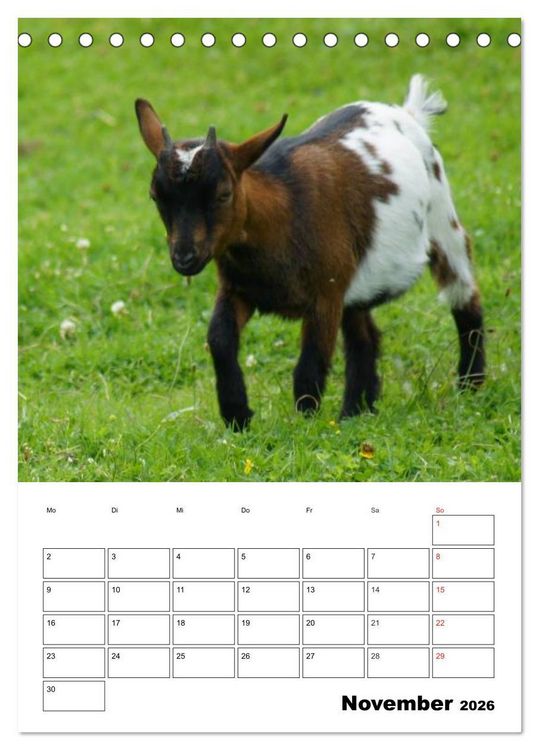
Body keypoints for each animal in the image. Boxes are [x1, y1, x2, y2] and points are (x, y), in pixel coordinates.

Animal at [135, 75, 485, 430]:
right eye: (155, 196)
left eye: (223, 194)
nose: (184, 258)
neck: (282, 216)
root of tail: (408, 113)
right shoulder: (238, 288)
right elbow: (219, 339)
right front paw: (237, 415)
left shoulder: (326, 294)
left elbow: (310, 365)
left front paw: (305, 425)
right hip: (357, 279)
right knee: (364, 336)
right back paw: (355, 413)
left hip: (443, 223)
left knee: (464, 298)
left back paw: (470, 384)